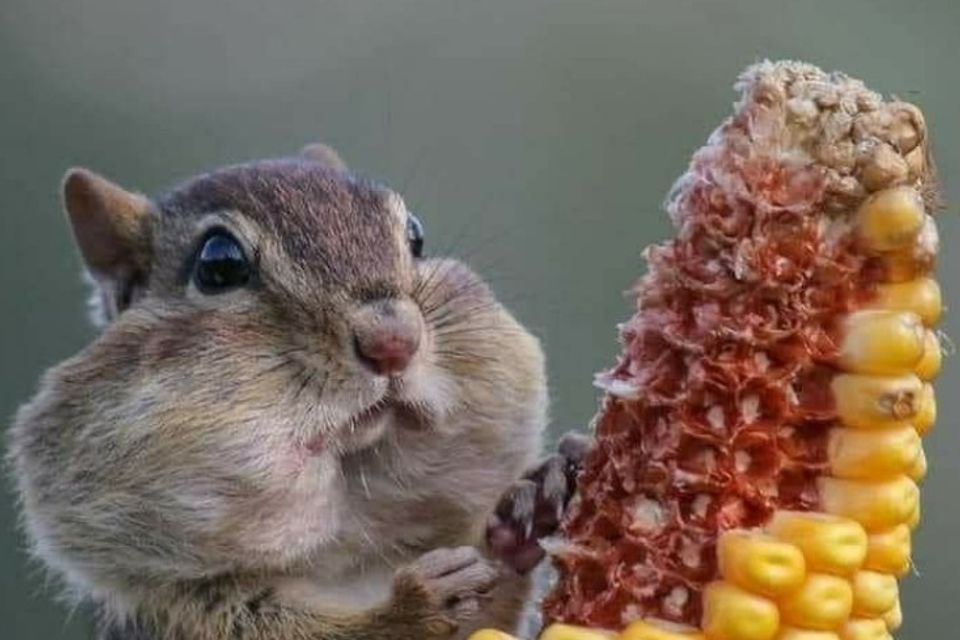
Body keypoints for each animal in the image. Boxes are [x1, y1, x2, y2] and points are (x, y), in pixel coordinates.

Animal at [8, 144, 590, 640]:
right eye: (218, 264)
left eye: (416, 236)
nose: (393, 340)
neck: (347, 543)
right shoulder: (184, 610)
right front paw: (414, 607)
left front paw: (533, 498)